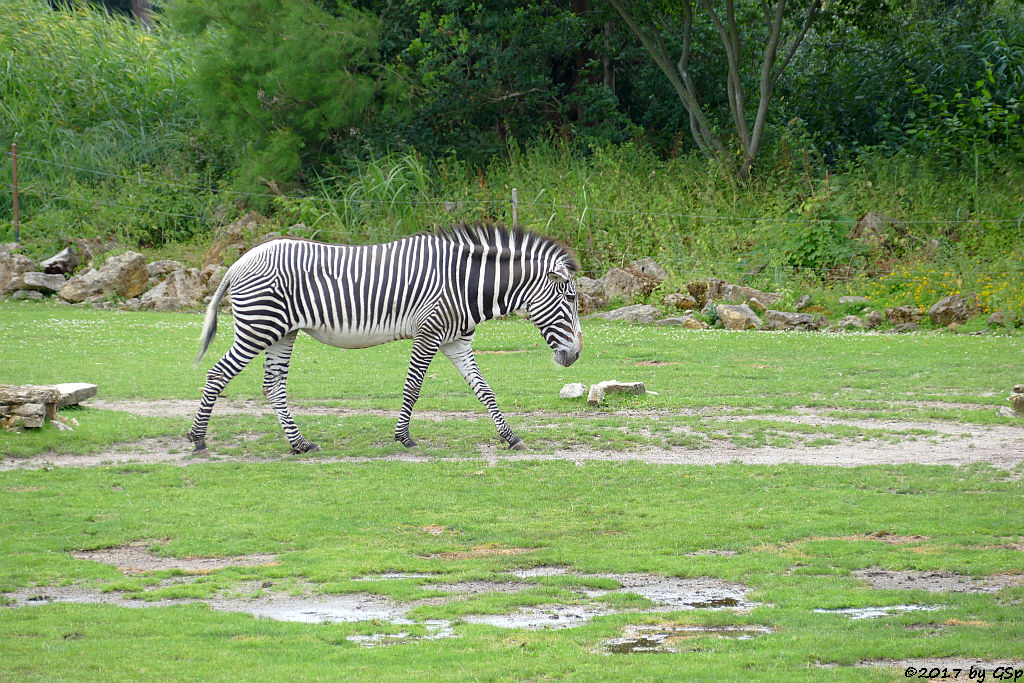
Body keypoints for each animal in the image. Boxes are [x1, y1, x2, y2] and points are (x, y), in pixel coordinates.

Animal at [187, 220, 581, 454]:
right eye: (570, 298)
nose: (576, 355)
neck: (465, 283)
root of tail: (239, 262)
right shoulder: (429, 333)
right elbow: (413, 388)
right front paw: (404, 437)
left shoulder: (456, 340)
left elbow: (484, 389)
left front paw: (510, 437)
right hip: (259, 327)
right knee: (218, 374)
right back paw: (198, 439)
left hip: (283, 332)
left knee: (273, 385)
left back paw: (299, 443)